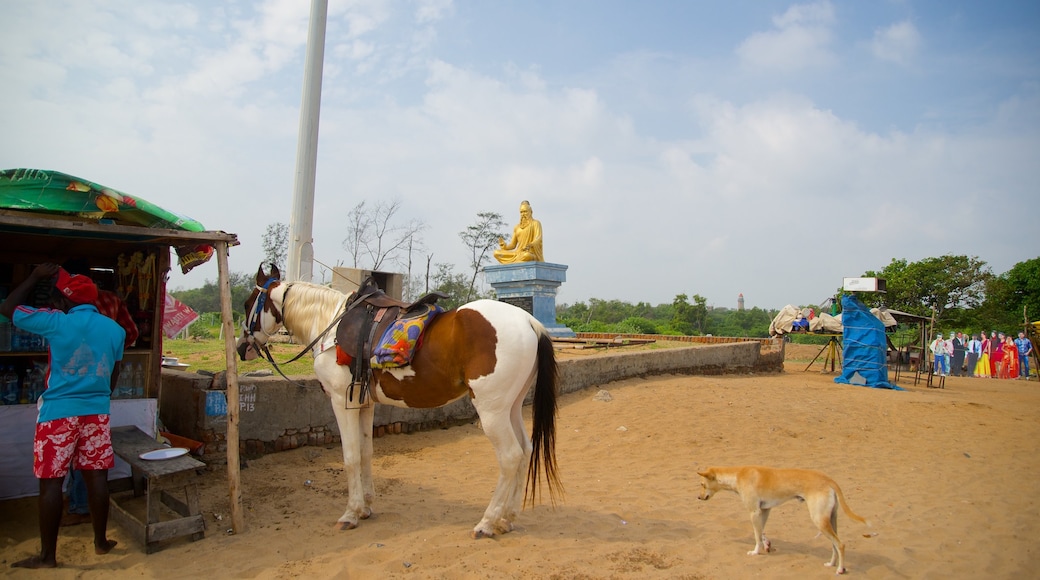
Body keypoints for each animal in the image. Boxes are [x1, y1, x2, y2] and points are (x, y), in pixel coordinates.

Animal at [238, 266, 561, 540]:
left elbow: (350, 456)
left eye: (247, 303)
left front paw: (350, 513)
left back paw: (487, 522)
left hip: (491, 411)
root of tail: (529, 321)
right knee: (525, 450)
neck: (331, 325)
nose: (242, 348)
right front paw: (366, 506)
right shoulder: (364, 403)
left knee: (510, 456)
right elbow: (366, 453)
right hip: (510, 407)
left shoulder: (341, 400)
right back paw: (507, 518)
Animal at [698, 467, 869, 577]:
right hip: (830, 520)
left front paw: (755, 552)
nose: (698, 497)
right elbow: (762, 533)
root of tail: (829, 480)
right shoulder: (765, 510)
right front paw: (766, 545)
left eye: (702, 484)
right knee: (835, 545)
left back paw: (840, 569)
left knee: (840, 544)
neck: (738, 475)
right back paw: (832, 564)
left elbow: (756, 536)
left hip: (819, 520)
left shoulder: (754, 512)